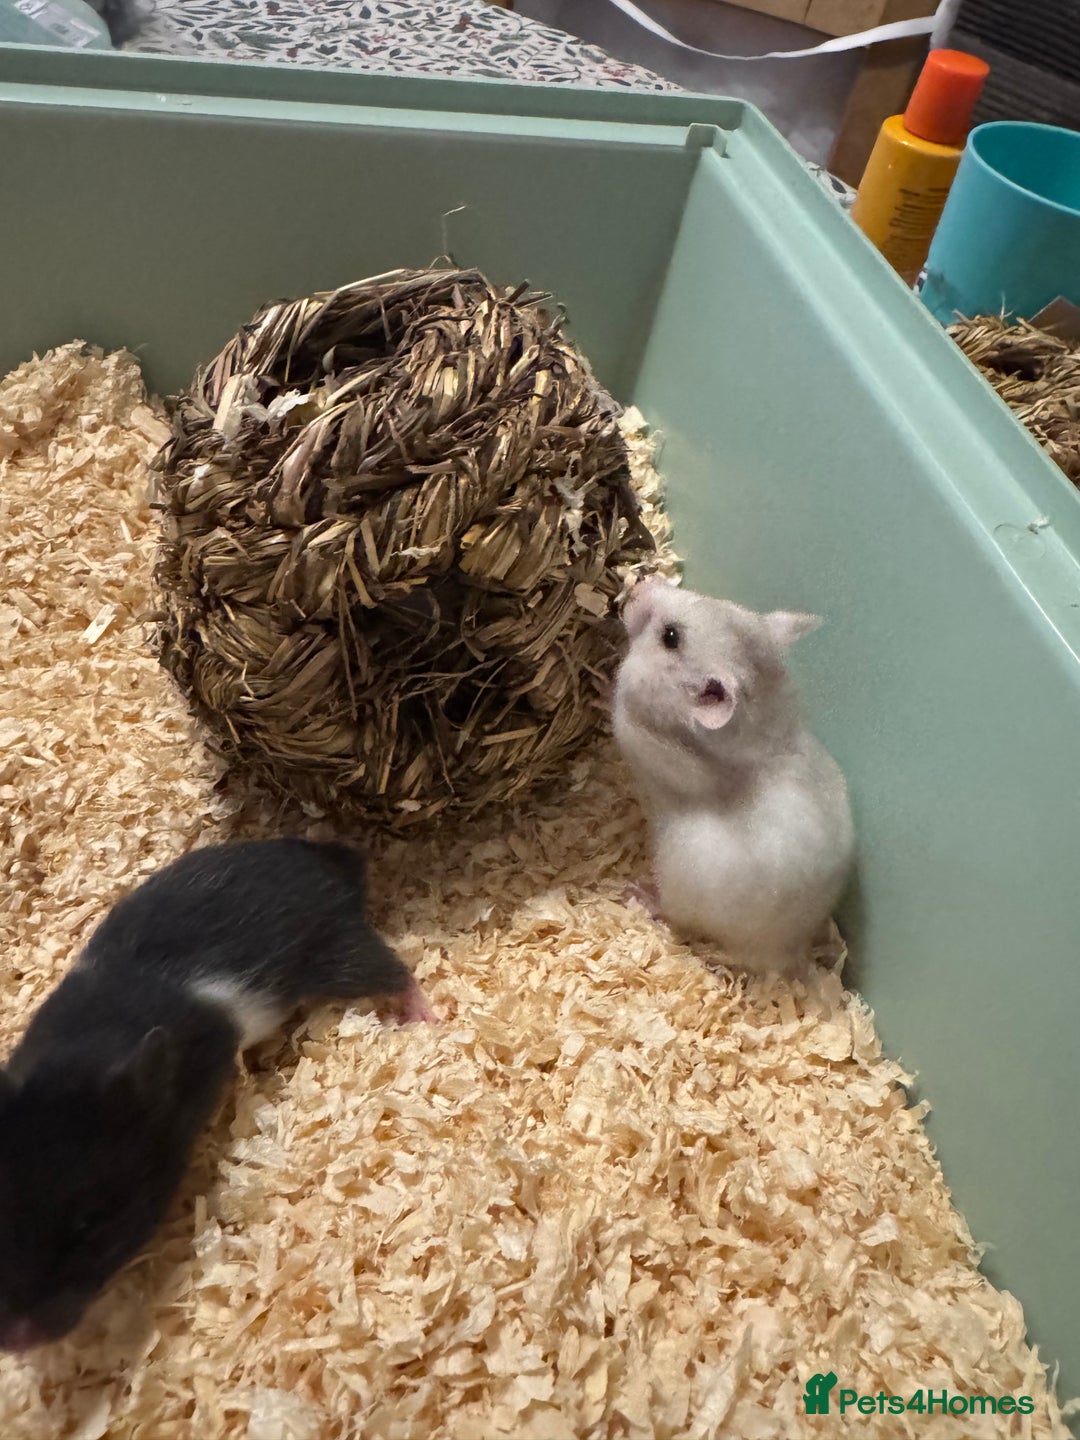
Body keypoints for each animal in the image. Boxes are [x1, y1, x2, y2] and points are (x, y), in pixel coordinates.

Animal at [0, 837, 434, 1352]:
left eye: (90, 1226)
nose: (14, 1342)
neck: (87, 1043)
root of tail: (333, 860)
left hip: (334, 951)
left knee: (394, 971)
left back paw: (423, 1017)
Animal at [612, 580, 854, 975]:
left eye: (671, 637)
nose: (638, 586)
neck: (761, 720)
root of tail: (788, 954)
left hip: (681, 876)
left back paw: (639, 893)